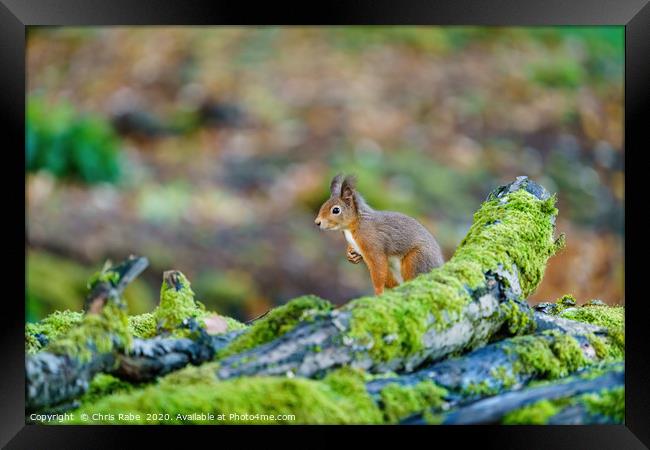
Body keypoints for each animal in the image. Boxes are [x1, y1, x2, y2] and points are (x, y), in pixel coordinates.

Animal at [316, 174, 446, 298]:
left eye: (336, 210)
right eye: (323, 205)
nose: (317, 222)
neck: (355, 225)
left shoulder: (373, 245)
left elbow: (378, 269)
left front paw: (378, 293)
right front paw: (350, 254)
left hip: (417, 259)